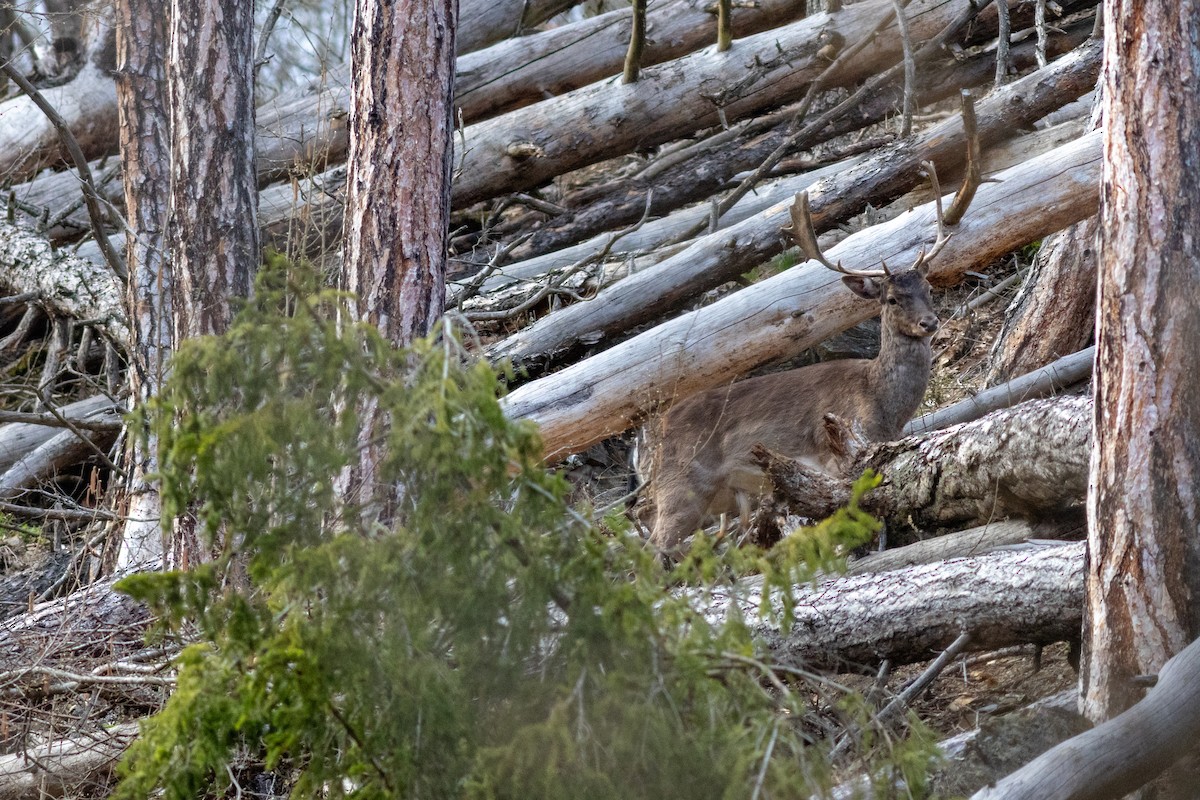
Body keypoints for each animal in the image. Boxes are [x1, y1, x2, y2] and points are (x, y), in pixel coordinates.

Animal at [642, 190, 955, 558]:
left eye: (929, 289)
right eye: (891, 299)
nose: (929, 322)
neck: (881, 402)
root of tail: (657, 431)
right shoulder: (837, 456)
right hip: (681, 486)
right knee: (653, 548)